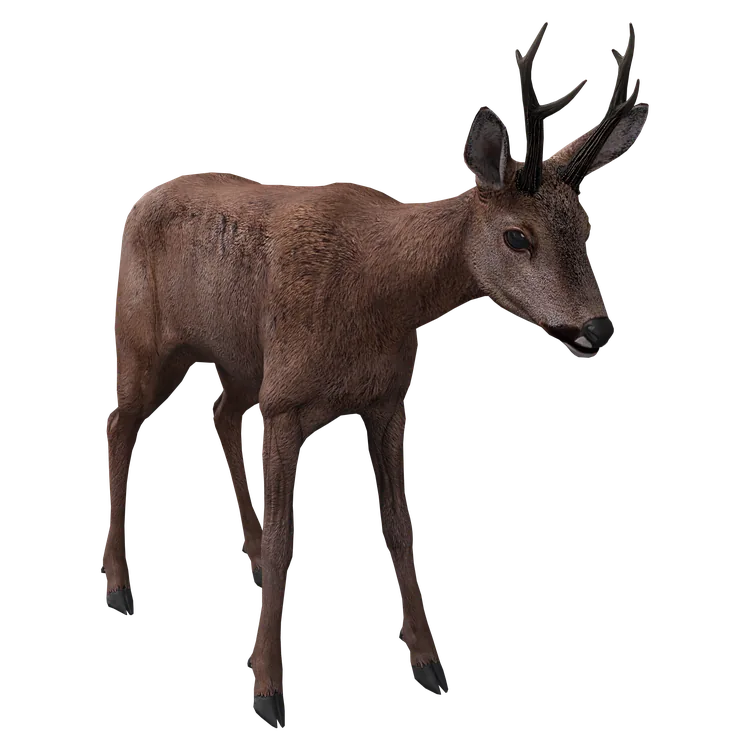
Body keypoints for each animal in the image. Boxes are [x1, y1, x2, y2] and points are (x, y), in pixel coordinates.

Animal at [103, 20, 648, 728]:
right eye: (517, 236)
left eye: (586, 227)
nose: (597, 328)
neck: (380, 288)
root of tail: (144, 197)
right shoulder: (286, 403)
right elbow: (290, 534)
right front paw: (268, 688)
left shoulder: (387, 399)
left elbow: (399, 523)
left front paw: (429, 665)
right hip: (146, 340)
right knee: (121, 422)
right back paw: (119, 584)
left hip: (243, 360)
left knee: (218, 413)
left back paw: (245, 557)